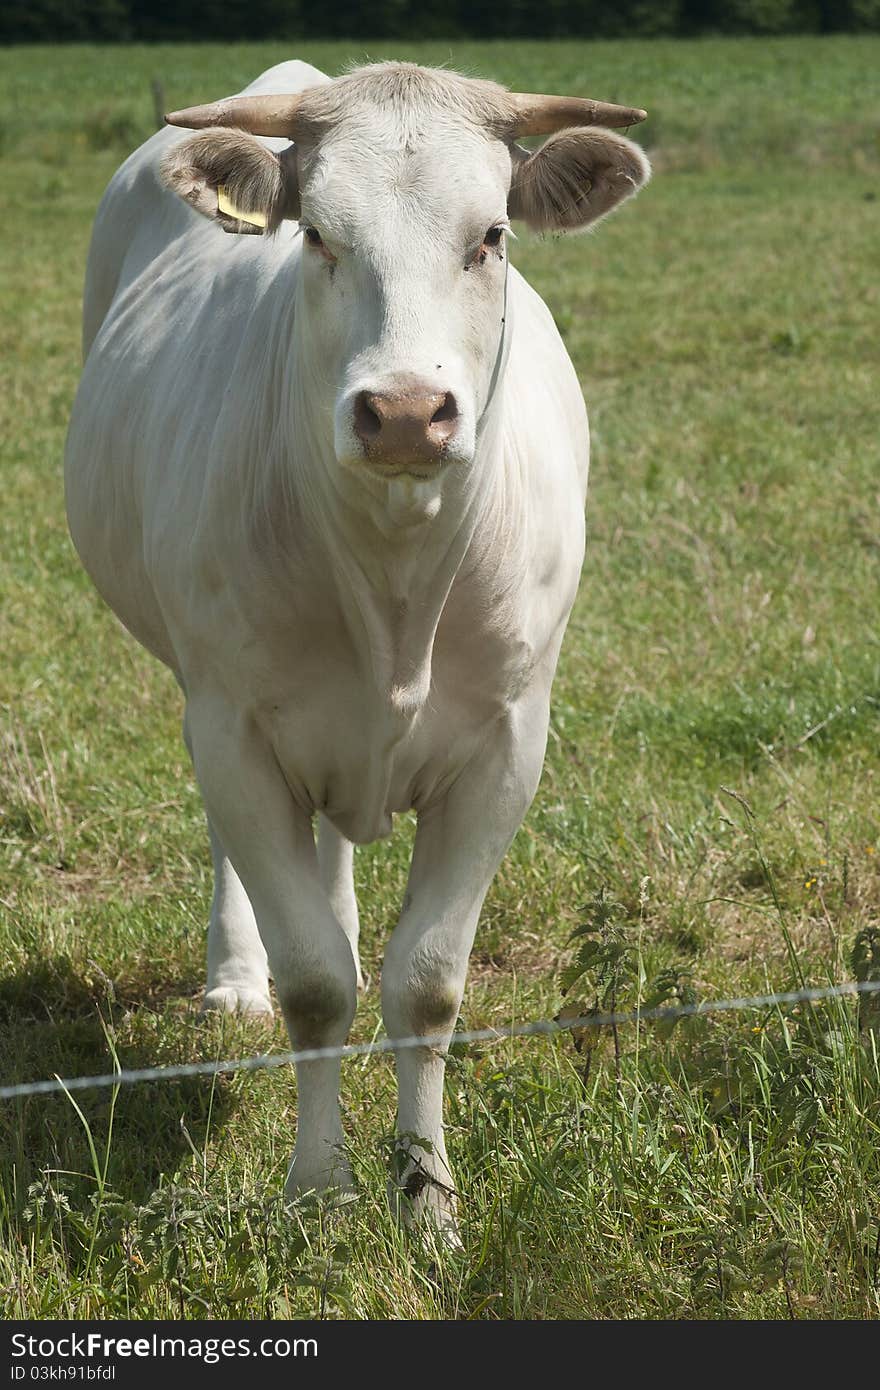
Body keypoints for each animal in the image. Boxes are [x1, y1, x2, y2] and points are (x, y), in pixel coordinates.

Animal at [65, 62, 647, 1239]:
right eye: (319, 237)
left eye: (492, 234)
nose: (406, 413)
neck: (393, 590)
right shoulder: (234, 728)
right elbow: (317, 983)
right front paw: (320, 1188)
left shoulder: (508, 743)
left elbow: (424, 982)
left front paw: (427, 1198)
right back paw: (233, 977)